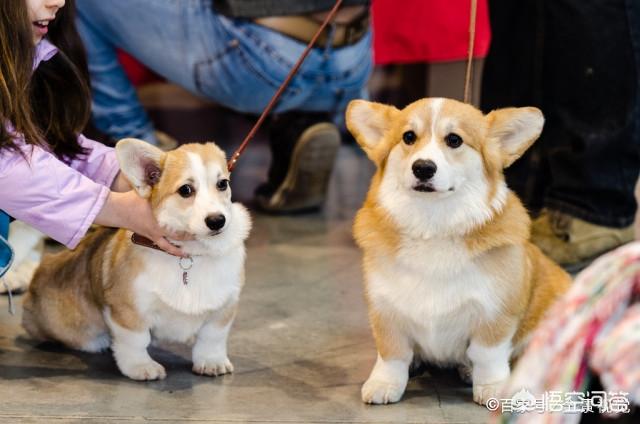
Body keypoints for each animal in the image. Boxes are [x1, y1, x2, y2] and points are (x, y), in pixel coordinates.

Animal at [20, 139, 250, 380]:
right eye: (186, 190)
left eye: (222, 184)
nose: (217, 221)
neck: (191, 254)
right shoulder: (128, 309)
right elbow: (136, 340)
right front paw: (141, 366)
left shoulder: (224, 307)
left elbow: (212, 337)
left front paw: (211, 361)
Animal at [348, 97, 572, 406]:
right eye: (408, 137)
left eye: (454, 140)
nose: (423, 168)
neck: (432, 224)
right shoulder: (385, 309)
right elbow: (393, 355)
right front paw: (385, 383)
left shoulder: (495, 313)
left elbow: (487, 355)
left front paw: (492, 386)